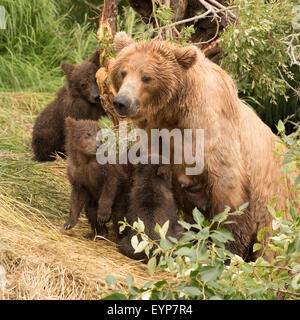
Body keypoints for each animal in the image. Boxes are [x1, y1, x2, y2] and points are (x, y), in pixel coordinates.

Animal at [108, 31, 298, 262]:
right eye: (123, 72)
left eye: (147, 77)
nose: (122, 102)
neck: (174, 113)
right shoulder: (158, 137)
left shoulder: (215, 138)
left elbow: (229, 198)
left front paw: (227, 249)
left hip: (277, 212)